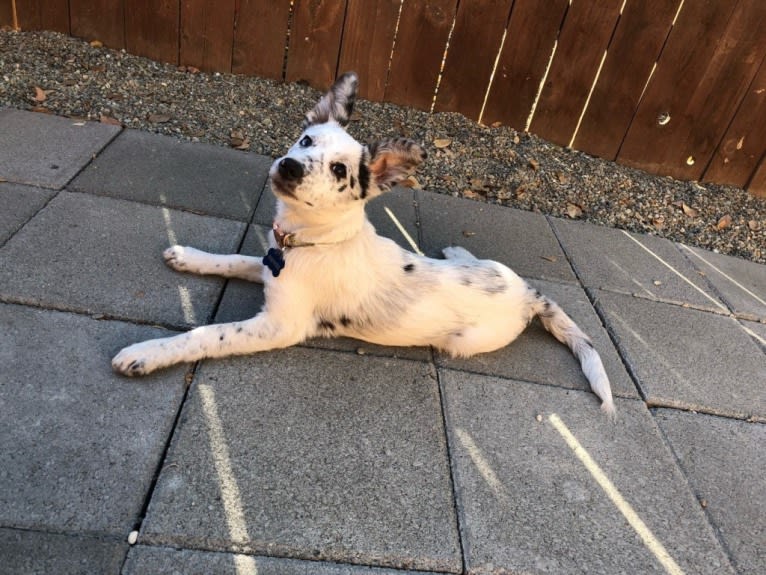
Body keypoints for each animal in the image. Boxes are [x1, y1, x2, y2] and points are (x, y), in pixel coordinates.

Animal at [112, 73, 616, 418]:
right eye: (305, 139)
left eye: (339, 170)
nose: (289, 166)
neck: (312, 241)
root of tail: (531, 295)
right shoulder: (271, 263)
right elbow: (235, 259)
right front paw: (189, 256)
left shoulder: (280, 325)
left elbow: (205, 334)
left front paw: (146, 353)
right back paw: (456, 253)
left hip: (470, 340)